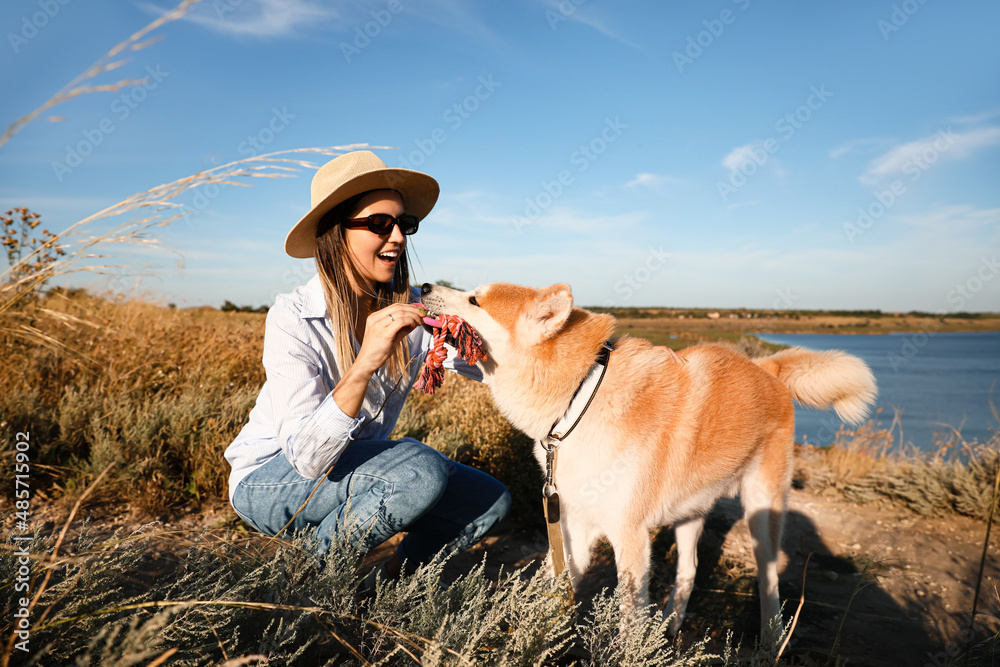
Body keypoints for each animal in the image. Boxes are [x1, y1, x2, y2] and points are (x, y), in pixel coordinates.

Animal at [416, 280, 876, 636]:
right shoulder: (575, 527)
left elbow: (626, 624)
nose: (423, 286)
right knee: (689, 569)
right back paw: (670, 626)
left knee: (768, 582)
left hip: (762, 511)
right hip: (690, 514)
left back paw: (770, 638)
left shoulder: (630, 537)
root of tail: (767, 368)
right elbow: (546, 593)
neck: (579, 398)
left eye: (475, 300)